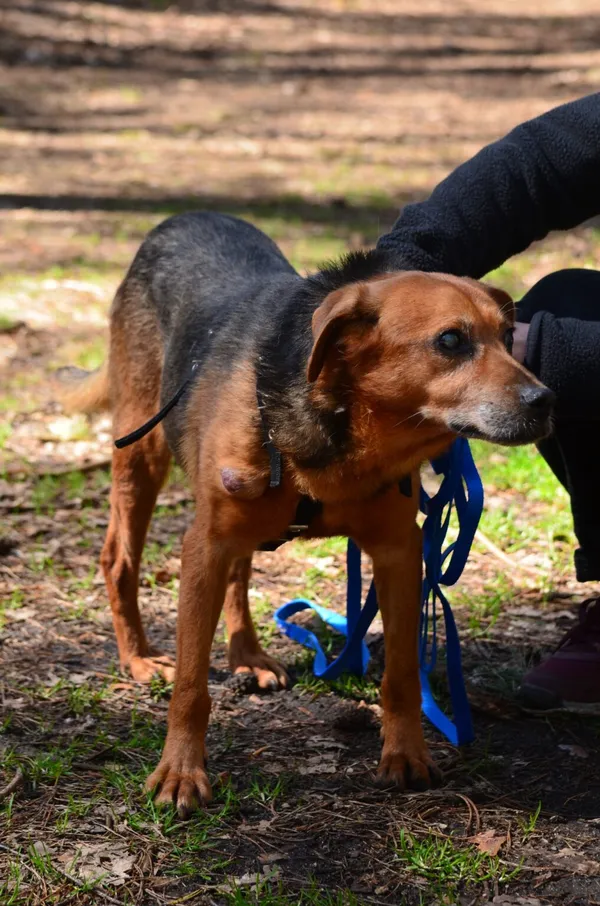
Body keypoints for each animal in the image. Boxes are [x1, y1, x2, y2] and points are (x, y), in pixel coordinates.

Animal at [65, 212, 552, 812]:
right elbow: (191, 686)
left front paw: (405, 754)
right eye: (451, 341)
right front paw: (179, 772)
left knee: (240, 574)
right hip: (142, 458)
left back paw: (248, 654)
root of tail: (181, 218)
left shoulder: (398, 553)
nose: (545, 401)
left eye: (508, 338)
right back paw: (137, 656)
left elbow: (401, 675)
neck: (345, 431)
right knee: (119, 560)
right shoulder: (203, 547)